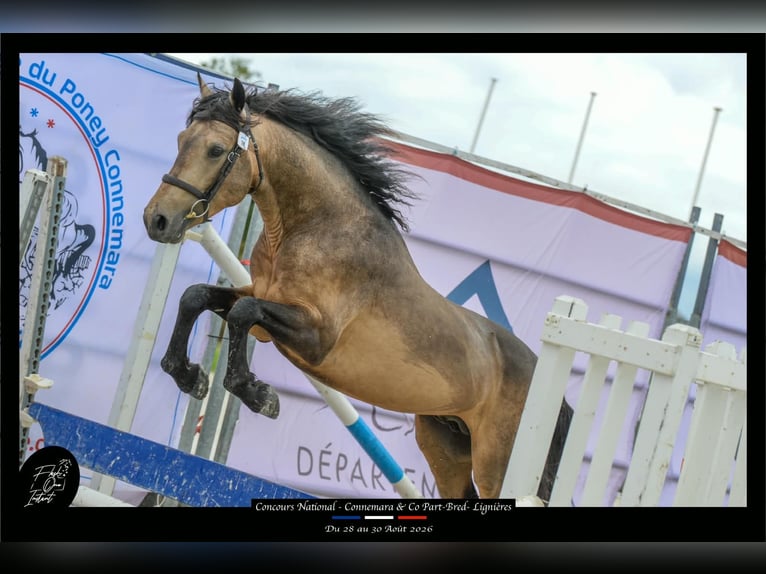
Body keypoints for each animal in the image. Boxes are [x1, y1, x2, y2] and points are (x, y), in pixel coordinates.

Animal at [143, 73, 573, 500]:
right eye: (182, 140)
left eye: (216, 150)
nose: (157, 220)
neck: (309, 228)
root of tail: (554, 394)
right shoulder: (262, 301)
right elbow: (198, 297)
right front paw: (189, 376)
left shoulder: (316, 336)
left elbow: (241, 314)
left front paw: (258, 395)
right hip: (444, 444)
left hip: (496, 465)